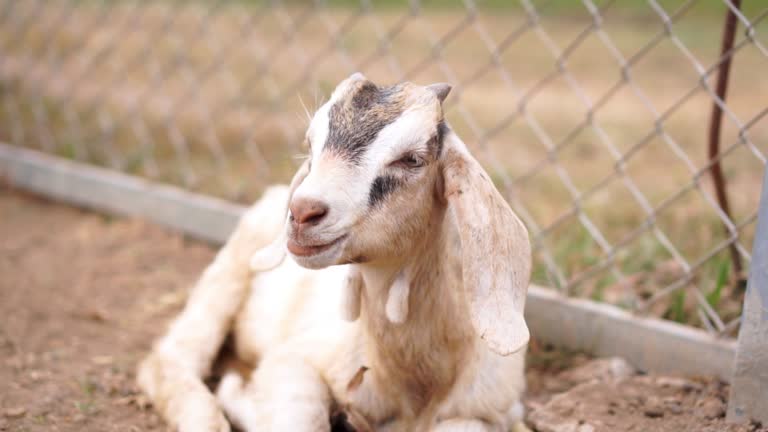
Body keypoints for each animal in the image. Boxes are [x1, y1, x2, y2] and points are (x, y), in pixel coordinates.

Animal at [138, 74, 532, 432]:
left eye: (411, 159)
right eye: (311, 144)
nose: (301, 212)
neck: (413, 384)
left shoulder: (492, 410)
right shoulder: (293, 362)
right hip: (225, 276)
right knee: (170, 358)